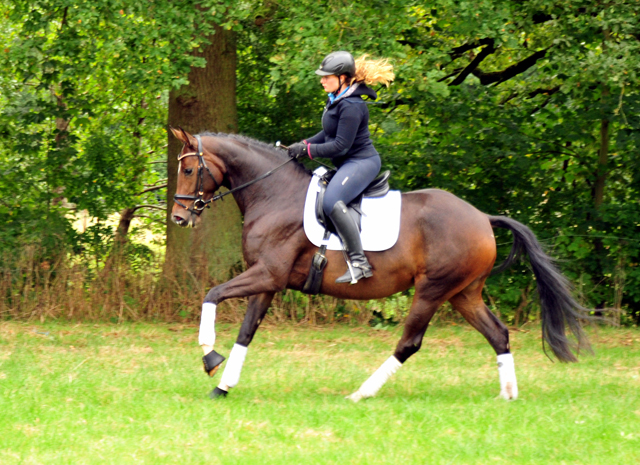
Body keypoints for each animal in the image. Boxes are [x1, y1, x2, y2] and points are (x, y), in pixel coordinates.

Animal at [169, 127, 592, 398]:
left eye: (189, 170)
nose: (178, 217)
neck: (273, 194)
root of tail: (482, 218)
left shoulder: (265, 274)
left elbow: (212, 294)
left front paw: (209, 355)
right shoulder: (269, 281)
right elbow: (246, 332)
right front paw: (222, 385)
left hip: (432, 290)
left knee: (410, 342)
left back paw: (362, 392)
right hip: (464, 294)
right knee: (498, 334)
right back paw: (508, 395)